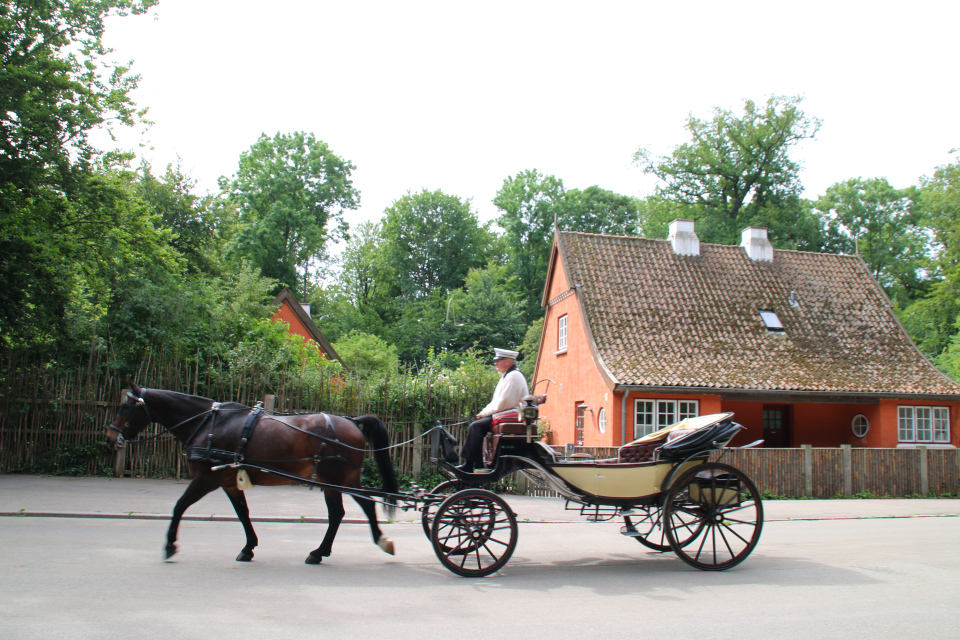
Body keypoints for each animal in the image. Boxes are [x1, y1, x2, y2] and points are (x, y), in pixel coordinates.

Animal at [107, 382, 400, 564]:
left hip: (338, 479)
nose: (110, 438)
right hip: (336, 481)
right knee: (344, 511)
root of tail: (352, 421)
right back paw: (323, 551)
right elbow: (243, 513)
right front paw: (248, 548)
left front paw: (169, 545)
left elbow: (179, 506)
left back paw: (369, 542)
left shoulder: (206, 478)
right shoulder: (228, 481)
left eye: (125, 407)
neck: (209, 423)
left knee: (357, 507)